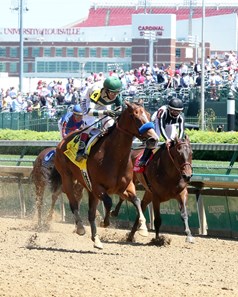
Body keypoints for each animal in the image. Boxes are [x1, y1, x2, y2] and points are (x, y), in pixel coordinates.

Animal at [50, 100, 158, 249]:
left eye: (148, 115)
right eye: (135, 116)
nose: (153, 139)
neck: (114, 157)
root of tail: (62, 141)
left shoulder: (124, 186)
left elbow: (136, 200)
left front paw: (143, 228)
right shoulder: (97, 186)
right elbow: (108, 202)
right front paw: (105, 222)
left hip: (89, 189)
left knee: (90, 213)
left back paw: (96, 239)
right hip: (67, 178)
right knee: (73, 202)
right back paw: (80, 227)